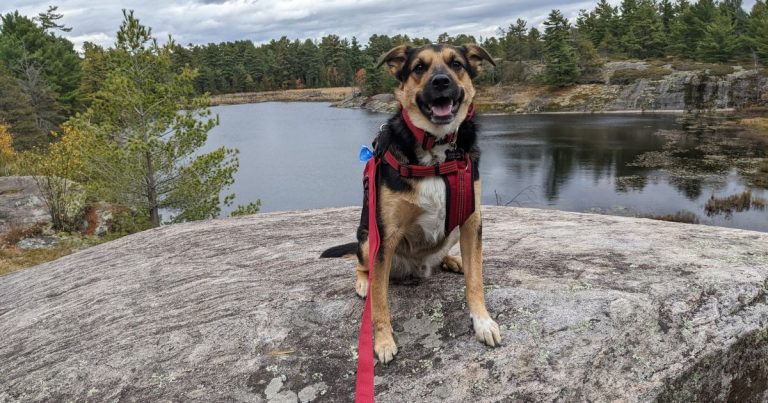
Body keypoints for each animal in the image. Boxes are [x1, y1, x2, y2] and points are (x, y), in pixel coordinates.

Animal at [320, 42, 500, 364]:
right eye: (418, 67)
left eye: (456, 64)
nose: (440, 82)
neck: (438, 149)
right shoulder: (385, 234)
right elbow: (380, 301)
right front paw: (382, 341)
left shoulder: (471, 220)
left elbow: (476, 280)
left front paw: (482, 321)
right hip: (367, 236)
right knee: (361, 266)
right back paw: (363, 283)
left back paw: (452, 261)